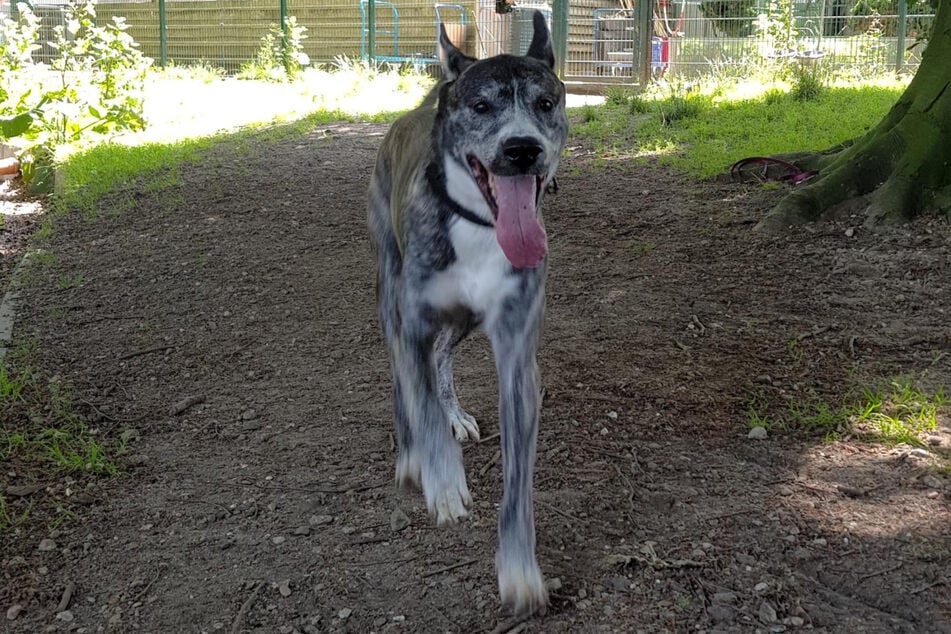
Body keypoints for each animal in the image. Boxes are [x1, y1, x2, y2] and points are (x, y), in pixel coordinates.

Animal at [366, 9, 568, 612]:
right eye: (481, 106)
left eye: (545, 103)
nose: (522, 149)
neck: (478, 224)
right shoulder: (411, 325)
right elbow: (421, 404)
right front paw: (444, 483)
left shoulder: (518, 358)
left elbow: (517, 483)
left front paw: (520, 568)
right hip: (389, 291)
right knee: (406, 384)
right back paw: (413, 457)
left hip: (462, 325)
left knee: (441, 360)